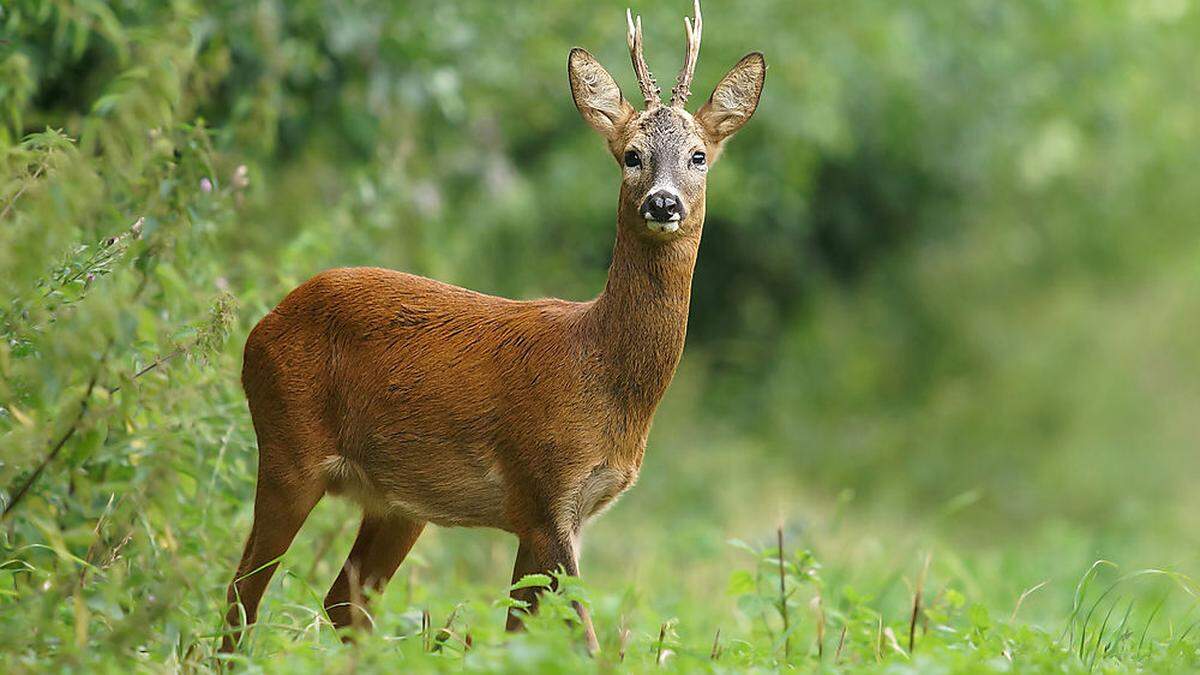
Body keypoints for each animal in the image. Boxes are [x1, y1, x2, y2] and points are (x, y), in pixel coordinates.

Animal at [220, 0, 763, 653]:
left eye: (698, 155)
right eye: (631, 154)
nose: (662, 203)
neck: (602, 371)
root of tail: (262, 325)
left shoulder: (559, 515)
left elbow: (523, 634)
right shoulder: (542, 488)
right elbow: (580, 639)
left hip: (399, 502)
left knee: (342, 601)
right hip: (287, 446)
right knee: (242, 595)